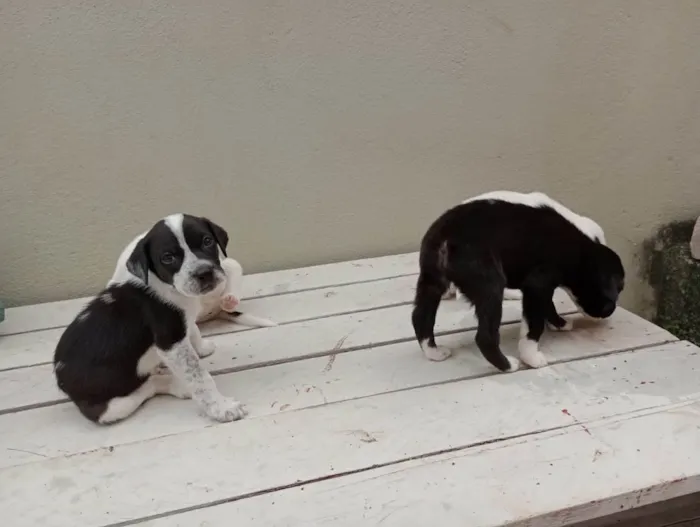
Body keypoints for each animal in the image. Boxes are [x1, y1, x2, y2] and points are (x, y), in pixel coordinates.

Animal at [54, 213, 247, 424]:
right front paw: (221, 407)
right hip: (112, 407)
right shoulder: (171, 342)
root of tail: (61, 381)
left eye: (207, 241)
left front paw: (202, 347)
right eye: (168, 258)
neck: (166, 286)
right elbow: (198, 376)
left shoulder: (182, 319)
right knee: (147, 387)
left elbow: (193, 330)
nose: (204, 273)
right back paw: (178, 385)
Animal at [410, 192, 624, 374]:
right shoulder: (537, 285)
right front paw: (532, 357)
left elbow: (549, 306)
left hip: (431, 282)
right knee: (485, 336)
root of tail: (446, 235)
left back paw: (433, 352)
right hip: (490, 287)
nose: (609, 311)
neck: (583, 248)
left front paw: (559, 323)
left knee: (421, 317)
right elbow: (533, 325)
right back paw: (507, 365)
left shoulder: (543, 288)